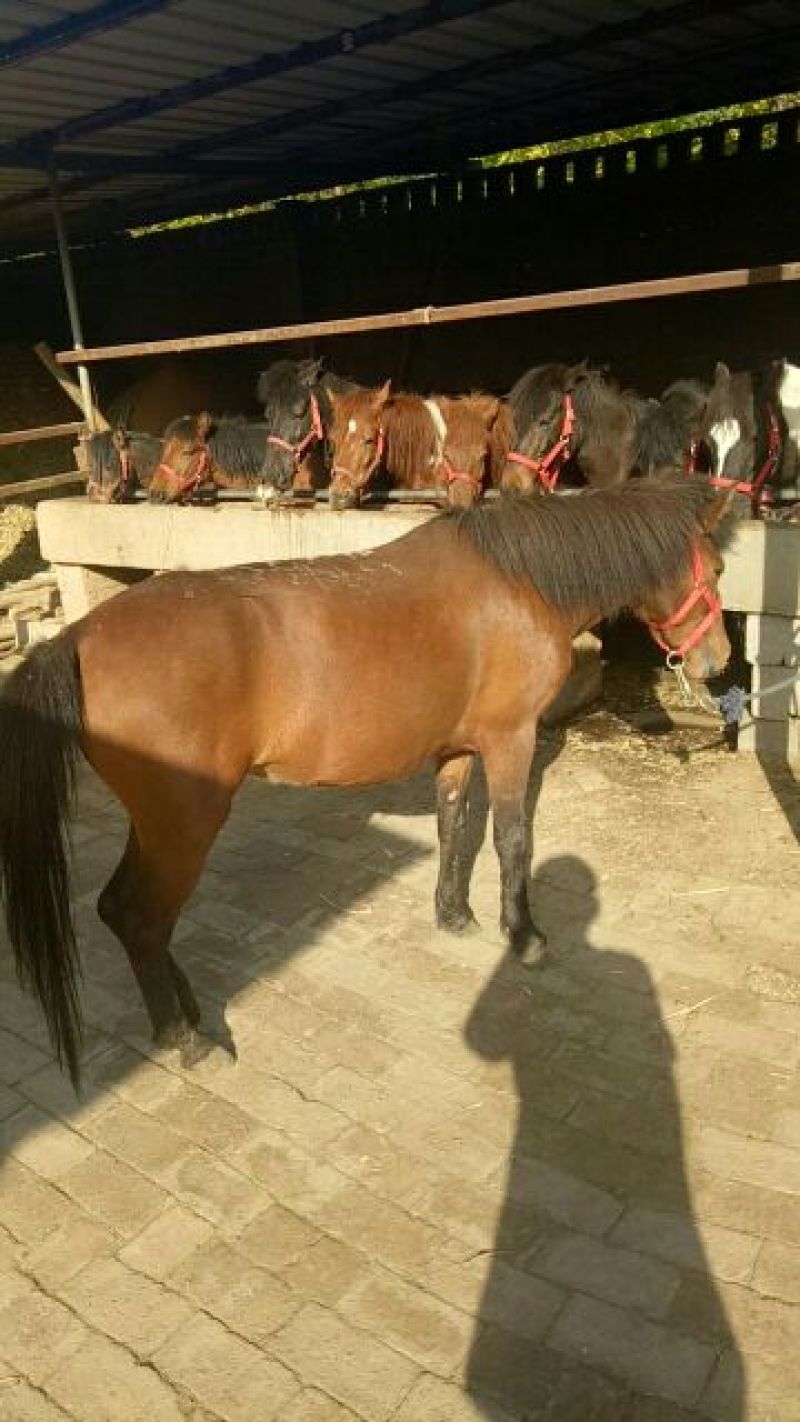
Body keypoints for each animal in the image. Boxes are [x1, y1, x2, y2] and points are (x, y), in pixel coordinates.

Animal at [0, 475, 735, 1086]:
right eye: (721, 567)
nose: (718, 661)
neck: (515, 585)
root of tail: (75, 639)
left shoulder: (457, 749)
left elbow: (453, 827)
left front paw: (454, 915)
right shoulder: (511, 741)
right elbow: (512, 841)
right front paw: (524, 936)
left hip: (155, 822)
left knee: (120, 910)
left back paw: (184, 1014)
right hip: (184, 823)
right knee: (141, 918)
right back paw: (189, 1039)